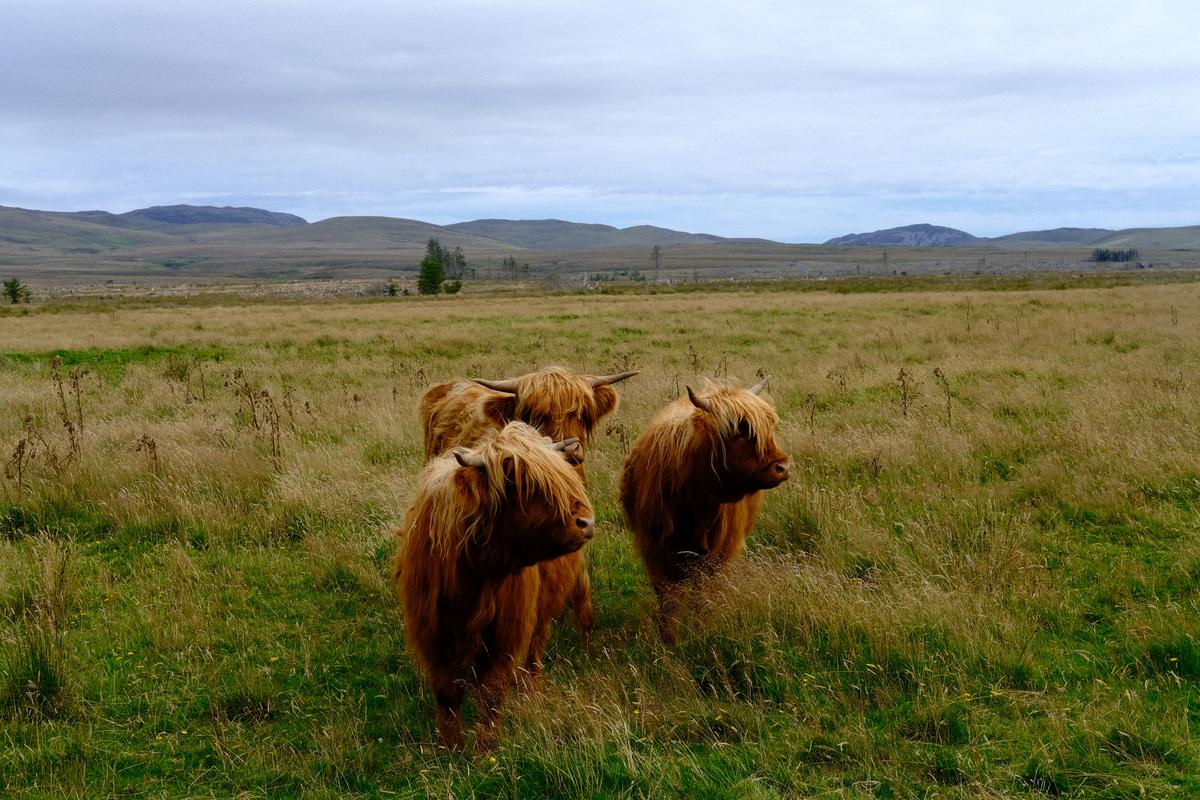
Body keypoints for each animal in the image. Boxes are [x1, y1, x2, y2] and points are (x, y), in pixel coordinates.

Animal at [395, 421, 595, 751]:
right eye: (522, 485)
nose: (587, 522)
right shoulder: (431, 631)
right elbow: (446, 692)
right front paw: (449, 747)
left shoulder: (507, 630)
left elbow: (492, 692)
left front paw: (485, 747)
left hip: (543, 611)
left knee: (535, 651)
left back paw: (531, 689)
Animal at [619, 380, 790, 644]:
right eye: (741, 430)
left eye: (769, 427)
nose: (783, 467)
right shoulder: (656, 549)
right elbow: (668, 598)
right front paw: (668, 638)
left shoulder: (717, 554)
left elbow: (704, 598)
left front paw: (701, 632)